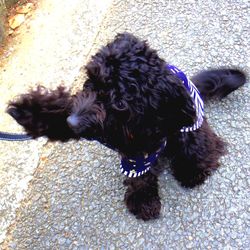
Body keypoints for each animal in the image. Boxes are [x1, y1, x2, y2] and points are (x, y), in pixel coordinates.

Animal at [6, 32, 245, 219]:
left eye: (120, 103)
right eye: (90, 81)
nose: (72, 122)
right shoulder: (121, 144)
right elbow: (139, 176)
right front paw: (30, 111)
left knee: (202, 141)